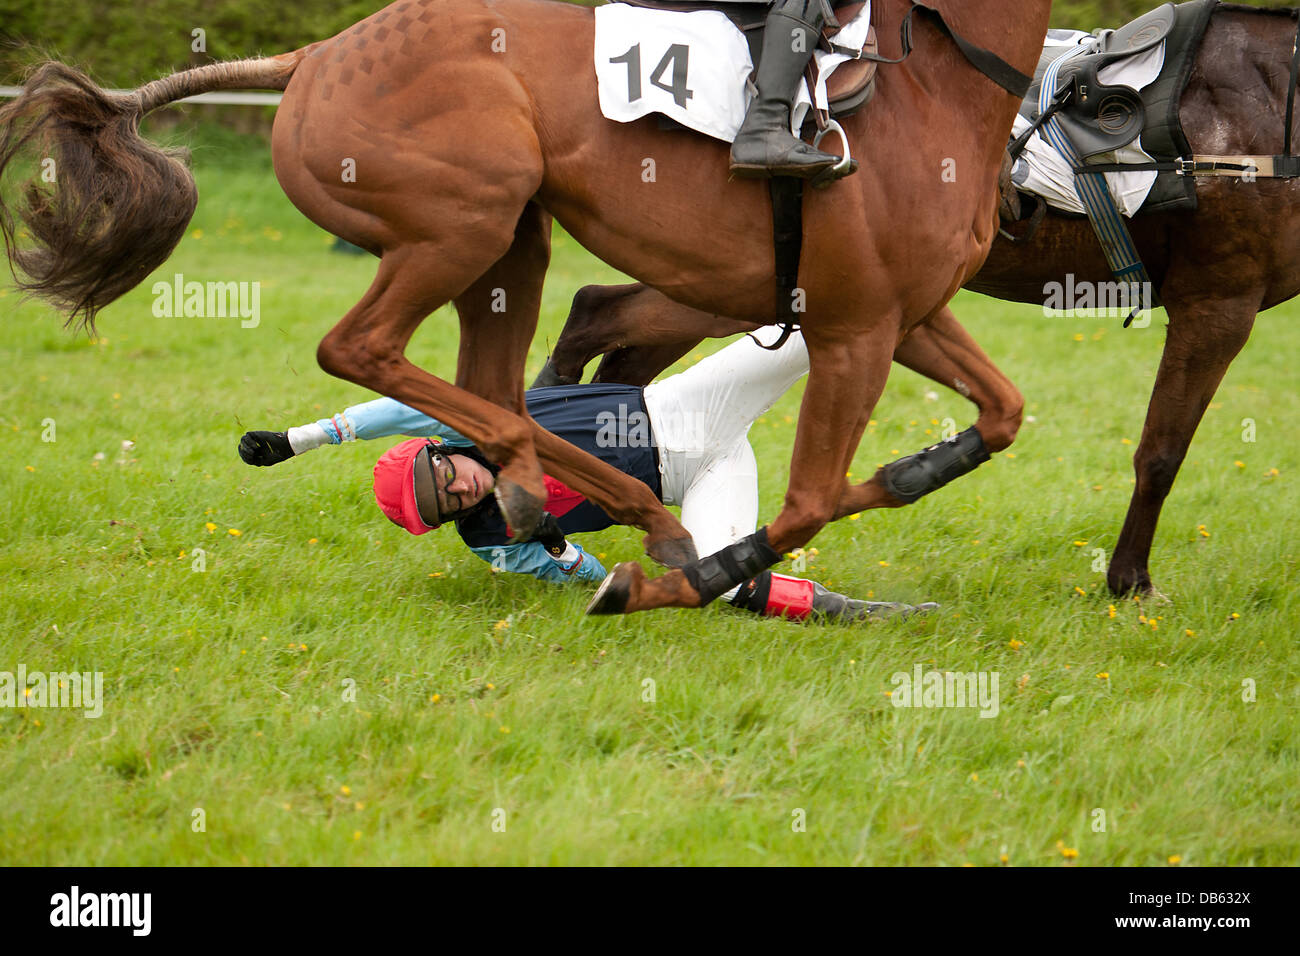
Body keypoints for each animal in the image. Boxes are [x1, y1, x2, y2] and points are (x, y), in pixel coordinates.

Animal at [0, 0, 1050, 613]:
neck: (938, 81)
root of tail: (314, 57)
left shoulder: (903, 315)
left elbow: (999, 415)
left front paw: (914, 467)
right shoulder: (855, 325)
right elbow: (809, 502)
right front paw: (696, 576)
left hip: (514, 241)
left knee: (494, 384)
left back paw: (563, 490)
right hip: (464, 220)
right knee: (362, 348)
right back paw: (611, 509)